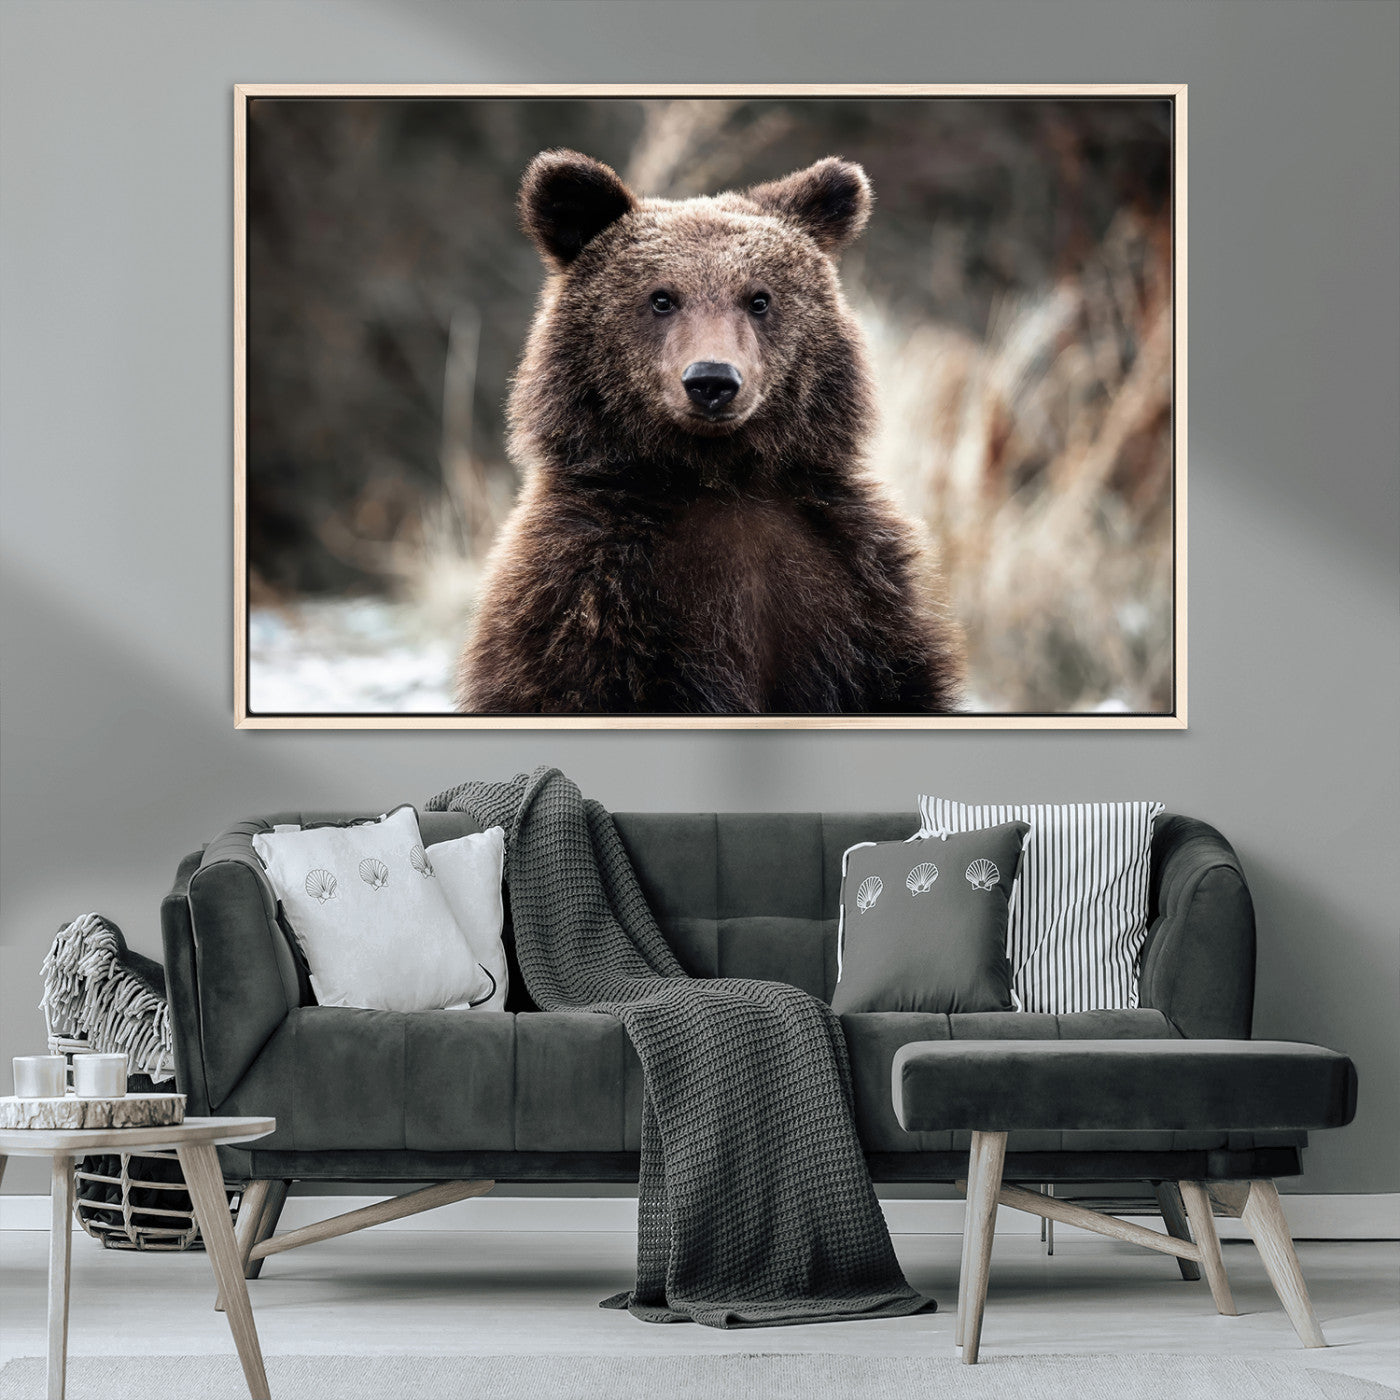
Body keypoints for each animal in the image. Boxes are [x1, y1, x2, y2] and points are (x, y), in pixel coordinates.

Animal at [457, 149, 964, 715]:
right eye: (661, 298)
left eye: (759, 299)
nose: (712, 381)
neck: (718, 476)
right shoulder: (586, 598)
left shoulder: (856, 591)